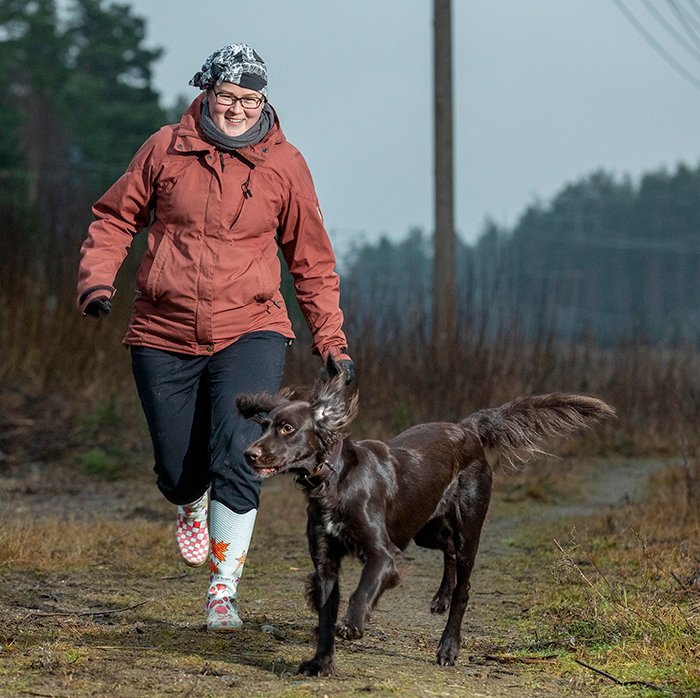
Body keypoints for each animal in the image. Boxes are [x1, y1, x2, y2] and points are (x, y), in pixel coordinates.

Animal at [238, 376, 616, 676]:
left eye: (287, 428)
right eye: (263, 425)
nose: (249, 455)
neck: (335, 480)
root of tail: (467, 429)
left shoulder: (383, 553)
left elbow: (364, 588)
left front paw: (355, 623)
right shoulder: (326, 562)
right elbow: (326, 615)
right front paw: (321, 663)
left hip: (468, 530)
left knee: (463, 585)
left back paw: (448, 645)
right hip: (424, 529)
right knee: (446, 551)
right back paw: (440, 597)